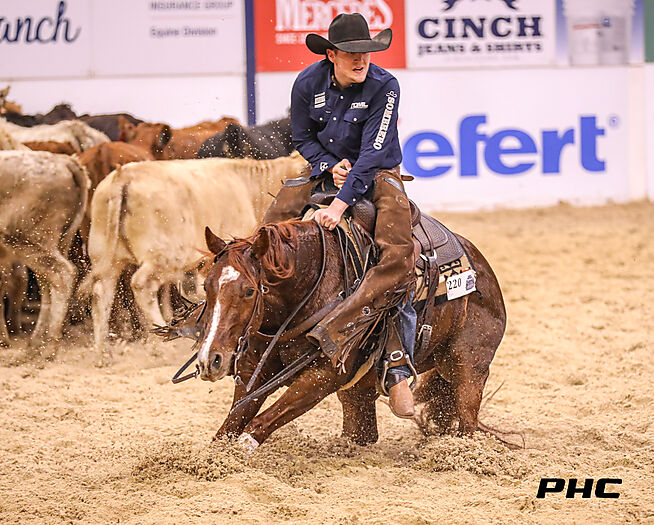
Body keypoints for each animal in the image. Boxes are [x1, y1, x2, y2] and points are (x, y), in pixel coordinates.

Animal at [0, 151, 89, 346]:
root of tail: (64, 161)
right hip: (56, 244)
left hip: (29, 241)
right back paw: (37, 341)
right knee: (48, 283)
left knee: (63, 274)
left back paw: (49, 343)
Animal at [88, 152, 307, 354]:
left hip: (105, 257)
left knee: (101, 293)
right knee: (142, 285)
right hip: (164, 258)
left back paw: (102, 350)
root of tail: (124, 175)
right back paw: (163, 341)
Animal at [194, 218, 506, 450]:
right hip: (360, 390)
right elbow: (231, 424)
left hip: (468, 369)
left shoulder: (323, 377)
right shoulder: (254, 372)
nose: (211, 360)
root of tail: (485, 273)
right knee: (363, 432)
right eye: (206, 285)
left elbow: (258, 424)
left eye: (249, 290)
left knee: (467, 425)